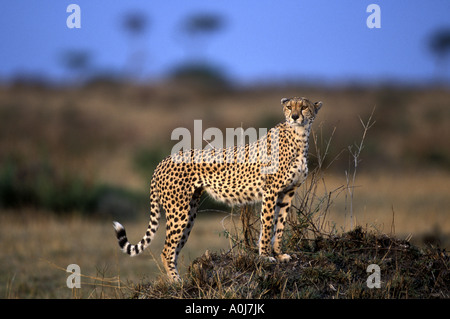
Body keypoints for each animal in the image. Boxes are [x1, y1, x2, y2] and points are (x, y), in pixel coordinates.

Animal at [114, 96, 322, 282]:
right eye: (289, 107)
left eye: (304, 107)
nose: (294, 116)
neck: (299, 136)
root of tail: (163, 160)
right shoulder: (270, 191)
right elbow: (268, 223)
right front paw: (265, 256)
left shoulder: (287, 192)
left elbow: (280, 225)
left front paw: (279, 254)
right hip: (178, 211)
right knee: (166, 251)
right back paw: (176, 282)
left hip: (190, 212)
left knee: (175, 249)